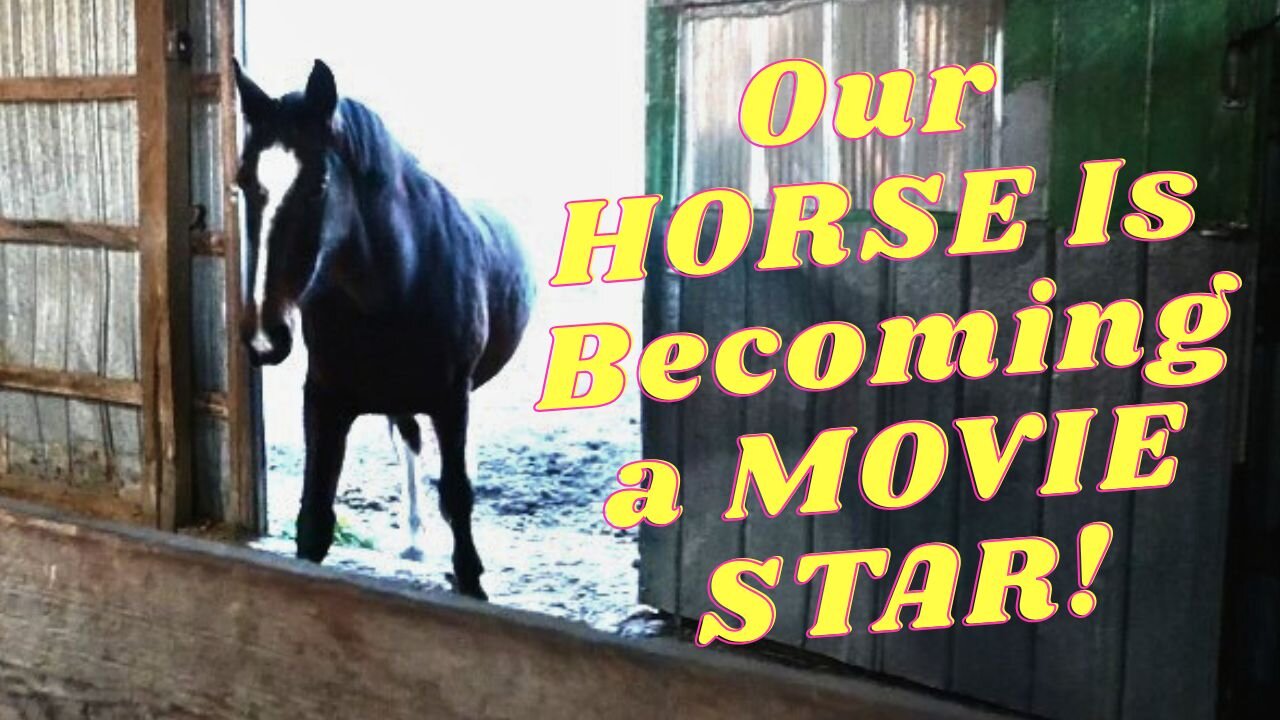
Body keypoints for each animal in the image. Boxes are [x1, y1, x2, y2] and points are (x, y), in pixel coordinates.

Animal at [233, 59, 535, 600]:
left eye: (318, 185)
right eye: (244, 182)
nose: (265, 336)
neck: (395, 286)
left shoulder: (451, 398)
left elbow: (457, 495)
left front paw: (471, 578)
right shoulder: (325, 401)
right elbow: (314, 519)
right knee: (409, 441)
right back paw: (413, 538)